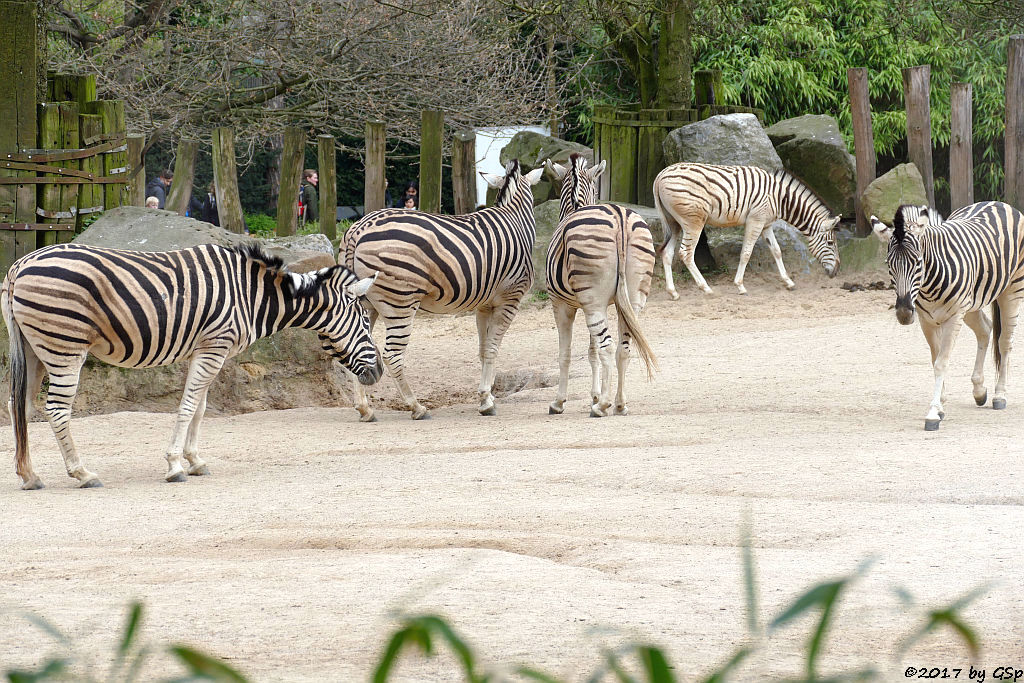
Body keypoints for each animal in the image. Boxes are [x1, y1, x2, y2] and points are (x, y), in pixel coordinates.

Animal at [2, 242, 382, 489]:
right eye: (365, 321)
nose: (377, 373)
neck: (252, 296)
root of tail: (20, 265)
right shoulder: (214, 346)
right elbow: (187, 407)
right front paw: (174, 465)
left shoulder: (204, 350)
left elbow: (199, 409)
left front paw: (195, 461)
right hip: (65, 347)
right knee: (56, 409)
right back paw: (82, 473)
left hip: (34, 348)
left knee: (19, 405)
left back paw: (29, 475)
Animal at [342, 158, 544, 421]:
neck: (515, 219)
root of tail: (358, 228)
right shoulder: (510, 298)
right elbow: (492, 349)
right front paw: (487, 401)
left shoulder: (484, 305)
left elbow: (482, 350)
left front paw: (485, 397)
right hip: (400, 303)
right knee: (392, 355)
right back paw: (416, 407)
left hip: (365, 302)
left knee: (357, 346)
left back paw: (365, 409)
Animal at [544, 156, 655, 417]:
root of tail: (619, 218)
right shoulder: (597, 304)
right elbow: (591, 351)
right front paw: (594, 395)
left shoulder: (561, 304)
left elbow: (566, 354)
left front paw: (559, 402)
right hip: (632, 300)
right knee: (623, 348)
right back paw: (619, 404)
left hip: (592, 300)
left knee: (608, 346)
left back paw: (603, 406)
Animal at [655, 163, 839, 296]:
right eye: (830, 243)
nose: (836, 272)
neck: (780, 199)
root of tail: (660, 175)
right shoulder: (755, 221)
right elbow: (746, 253)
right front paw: (740, 286)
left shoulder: (766, 224)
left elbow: (777, 251)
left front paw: (788, 282)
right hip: (693, 222)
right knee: (685, 253)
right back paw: (706, 288)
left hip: (674, 223)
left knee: (667, 253)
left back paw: (673, 292)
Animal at [868, 200, 1024, 430]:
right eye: (889, 264)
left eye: (918, 262)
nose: (904, 313)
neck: (928, 285)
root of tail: (997, 202)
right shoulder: (927, 320)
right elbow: (935, 360)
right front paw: (940, 404)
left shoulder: (954, 316)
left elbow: (941, 363)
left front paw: (933, 412)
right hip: (972, 303)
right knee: (985, 330)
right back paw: (979, 391)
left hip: (1011, 291)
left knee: (1004, 342)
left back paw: (1000, 395)